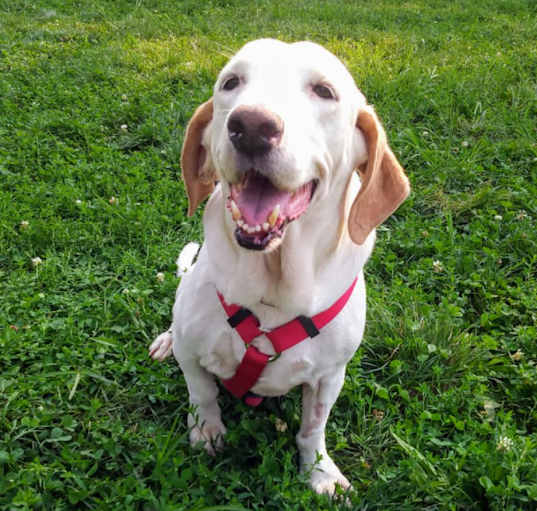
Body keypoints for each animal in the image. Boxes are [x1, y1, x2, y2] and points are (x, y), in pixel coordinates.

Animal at [149, 38, 408, 494]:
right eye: (231, 83)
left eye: (324, 91)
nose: (251, 126)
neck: (273, 287)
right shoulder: (194, 354)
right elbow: (202, 394)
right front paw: (206, 431)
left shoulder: (329, 377)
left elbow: (312, 429)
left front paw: (319, 471)